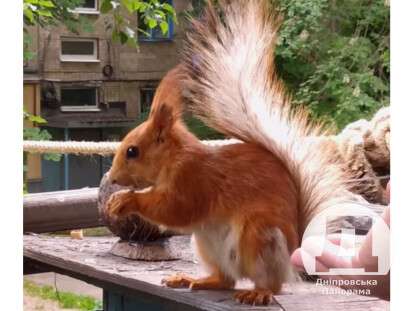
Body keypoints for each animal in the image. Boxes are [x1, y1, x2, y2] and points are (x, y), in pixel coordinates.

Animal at [106, 0, 352, 308]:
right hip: (206, 244)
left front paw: (126, 200)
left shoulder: (194, 180)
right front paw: (116, 199)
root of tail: (292, 253)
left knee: (272, 284)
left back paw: (259, 292)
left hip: (259, 235)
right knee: (226, 279)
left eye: (132, 151)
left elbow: (175, 209)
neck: (173, 160)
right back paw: (194, 279)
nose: (112, 178)